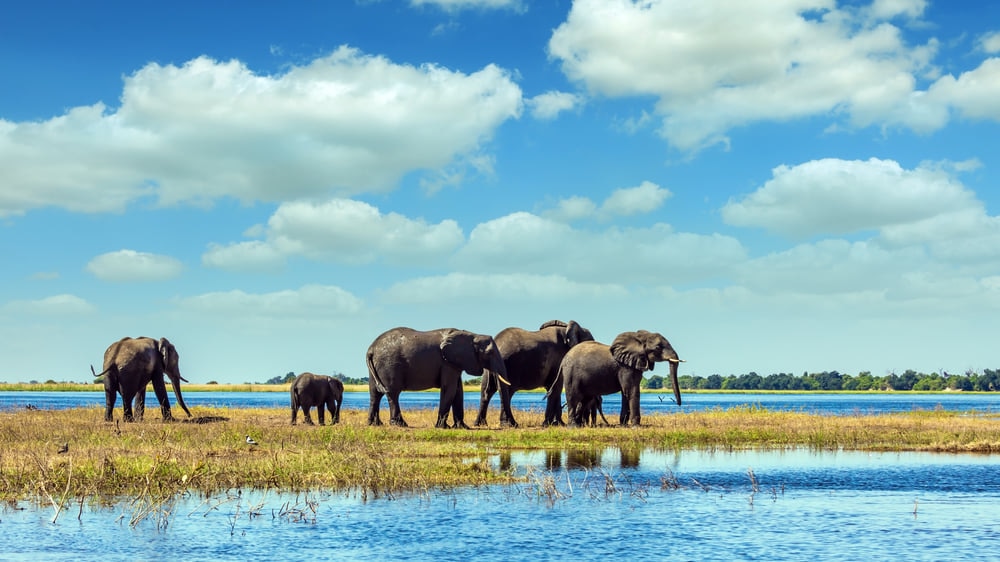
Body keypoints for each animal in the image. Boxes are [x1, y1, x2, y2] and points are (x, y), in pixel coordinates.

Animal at [366, 326, 508, 426]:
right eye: (490, 353)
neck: (472, 335)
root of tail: (370, 349)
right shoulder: (447, 363)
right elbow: (449, 389)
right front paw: (443, 427)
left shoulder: (454, 363)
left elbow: (458, 391)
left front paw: (462, 427)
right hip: (389, 365)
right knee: (392, 393)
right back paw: (400, 424)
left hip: (378, 367)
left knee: (375, 393)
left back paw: (375, 424)